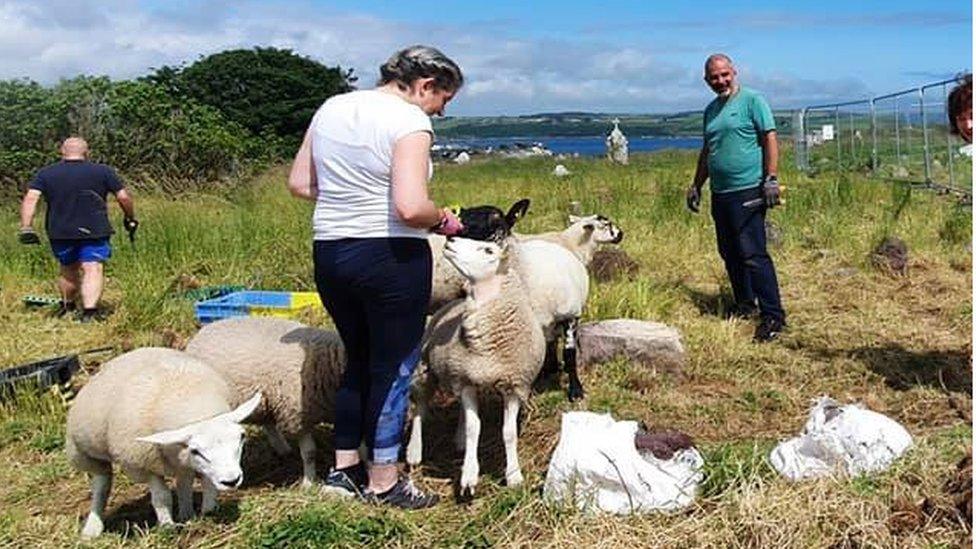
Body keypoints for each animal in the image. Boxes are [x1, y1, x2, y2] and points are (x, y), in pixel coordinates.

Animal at [66, 348, 262, 536]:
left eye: (242, 437)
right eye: (196, 450)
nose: (232, 481)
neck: (184, 394)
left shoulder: (190, 461)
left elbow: (205, 484)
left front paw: (209, 511)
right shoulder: (144, 464)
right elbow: (162, 497)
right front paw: (168, 526)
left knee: (184, 482)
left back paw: (186, 514)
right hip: (82, 454)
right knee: (101, 483)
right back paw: (93, 527)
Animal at [185, 316, 346, 488]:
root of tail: (203, 330)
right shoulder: (297, 416)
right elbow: (309, 453)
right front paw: (309, 483)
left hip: (265, 400)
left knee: (268, 422)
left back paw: (283, 449)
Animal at [406, 235, 548, 492]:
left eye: (488, 250)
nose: (451, 238)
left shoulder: (513, 385)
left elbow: (508, 432)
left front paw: (514, 475)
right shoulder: (467, 382)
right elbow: (475, 428)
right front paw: (469, 475)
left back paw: (459, 439)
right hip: (424, 368)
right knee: (420, 407)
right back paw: (414, 451)